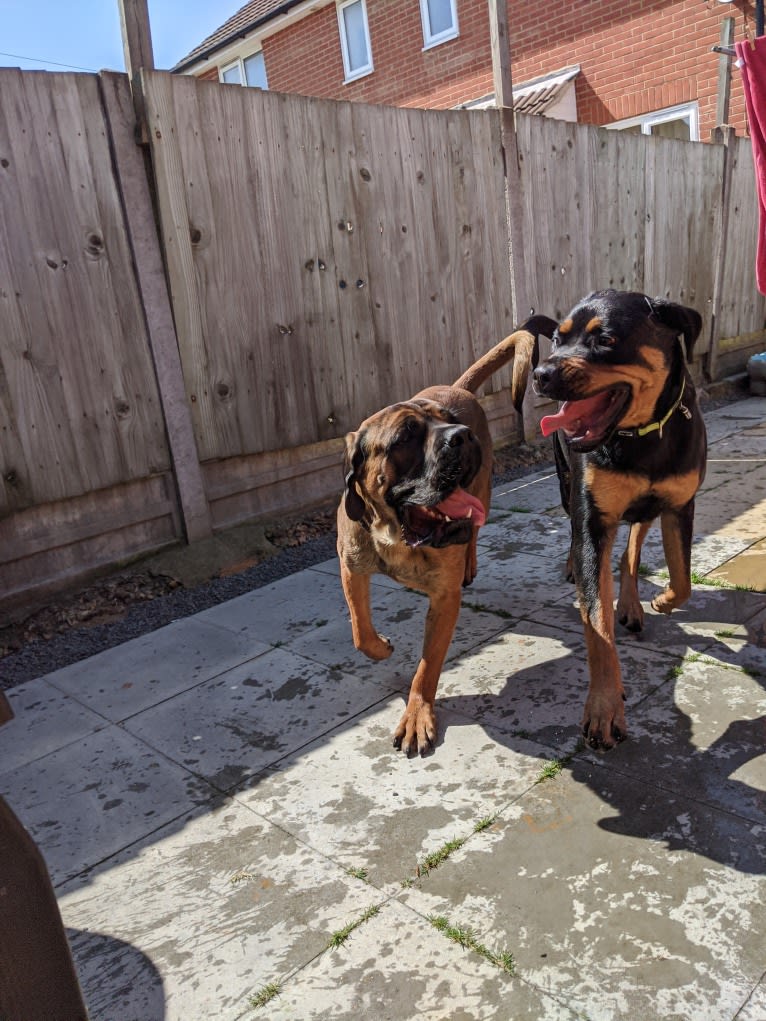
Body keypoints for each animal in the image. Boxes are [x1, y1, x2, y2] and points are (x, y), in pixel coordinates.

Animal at [339, 318, 547, 759]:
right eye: (405, 437)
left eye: (447, 420)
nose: (462, 435)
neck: (399, 534)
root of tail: (460, 387)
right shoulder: (351, 566)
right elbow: (359, 629)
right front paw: (380, 646)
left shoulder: (444, 599)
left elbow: (427, 666)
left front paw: (417, 713)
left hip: (482, 492)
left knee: (475, 533)